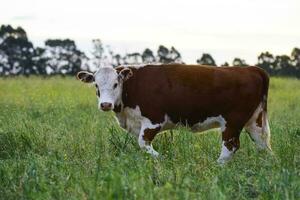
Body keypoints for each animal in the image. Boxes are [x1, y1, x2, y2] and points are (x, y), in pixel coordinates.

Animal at [76, 64, 270, 164]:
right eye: (96, 85)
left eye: (116, 84)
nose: (105, 104)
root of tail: (251, 69)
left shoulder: (154, 120)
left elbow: (143, 143)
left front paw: (162, 160)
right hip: (254, 121)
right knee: (263, 144)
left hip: (232, 122)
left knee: (231, 146)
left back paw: (216, 166)